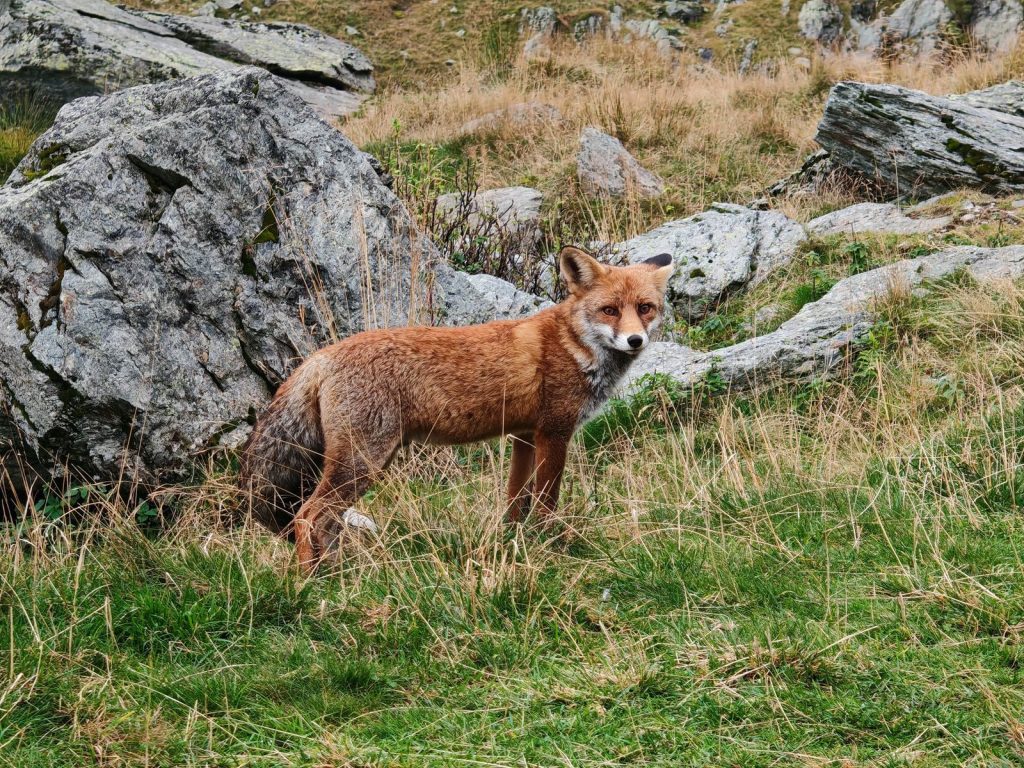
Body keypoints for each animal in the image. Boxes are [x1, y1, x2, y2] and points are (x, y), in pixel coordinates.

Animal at [238, 246, 674, 569]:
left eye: (645, 308)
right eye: (610, 310)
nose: (635, 340)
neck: (572, 345)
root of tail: (321, 356)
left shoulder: (524, 435)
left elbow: (515, 502)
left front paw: (514, 542)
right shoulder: (555, 432)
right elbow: (546, 503)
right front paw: (549, 544)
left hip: (369, 461)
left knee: (323, 522)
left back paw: (335, 574)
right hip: (363, 462)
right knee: (307, 516)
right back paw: (310, 582)